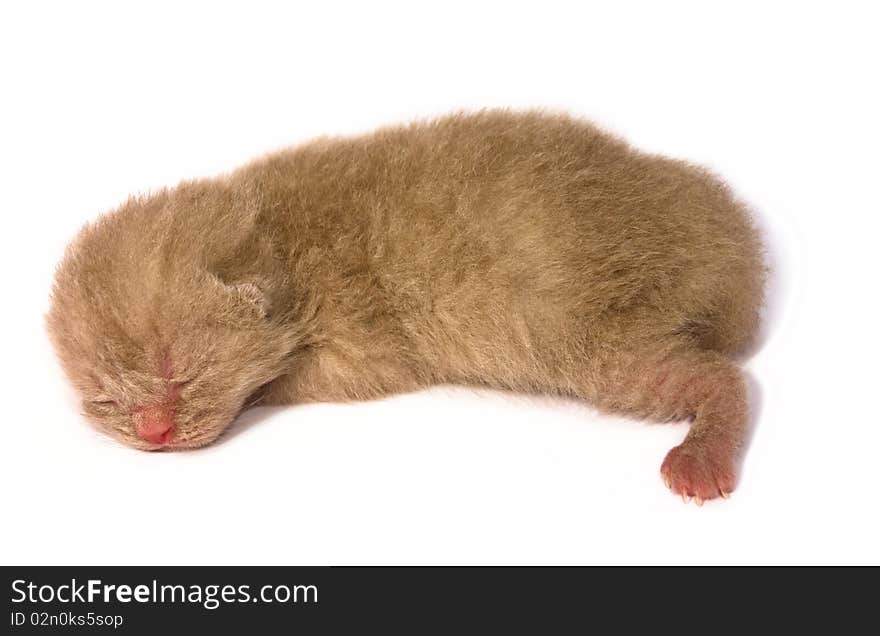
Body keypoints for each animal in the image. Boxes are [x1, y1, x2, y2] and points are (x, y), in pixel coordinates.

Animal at [46, 110, 764, 506]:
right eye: (105, 398)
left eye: (182, 373)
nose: (154, 432)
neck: (283, 239)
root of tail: (728, 247)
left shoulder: (364, 341)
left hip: (584, 335)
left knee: (719, 376)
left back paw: (702, 456)